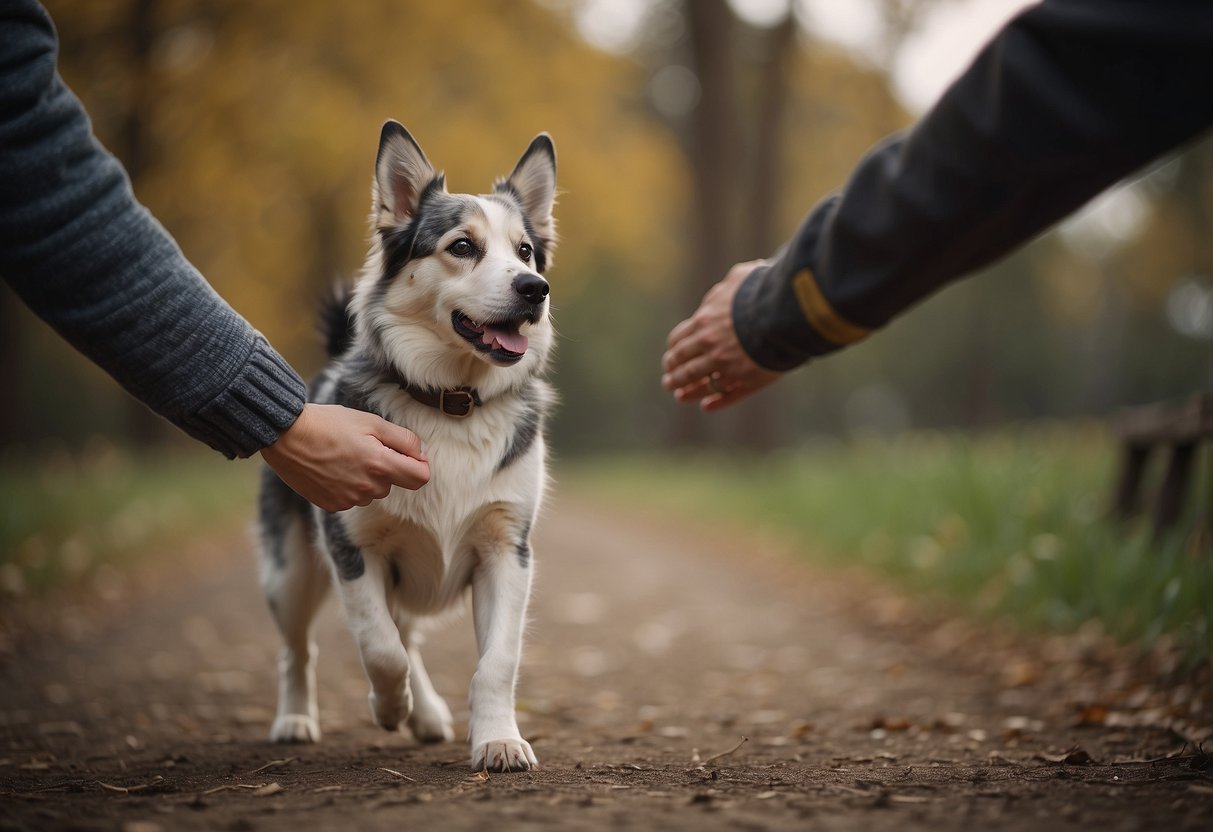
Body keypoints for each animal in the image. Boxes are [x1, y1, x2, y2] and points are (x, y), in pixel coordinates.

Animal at [259, 122, 557, 776]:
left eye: (525, 251)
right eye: (463, 246)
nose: (535, 289)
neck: (451, 400)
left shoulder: (507, 551)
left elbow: (497, 662)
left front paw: (497, 739)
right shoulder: (354, 547)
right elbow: (380, 648)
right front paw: (388, 706)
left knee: (406, 637)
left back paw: (426, 714)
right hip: (288, 572)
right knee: (299, 649)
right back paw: (295, 718)